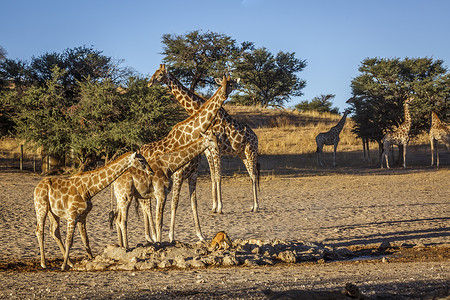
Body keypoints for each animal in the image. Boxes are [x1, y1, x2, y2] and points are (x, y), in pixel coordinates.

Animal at [112, 74, 236, 243]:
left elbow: (194, 204)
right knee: (145, 206)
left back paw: (149, 236)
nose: (224, 95)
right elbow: (174, 204)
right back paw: (150, 236)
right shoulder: (178, 175)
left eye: (230, 84)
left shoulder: (193, 174)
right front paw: (170, 236)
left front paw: (200, 235)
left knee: (144, 205)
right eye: (221, 83)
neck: (191, 133)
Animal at [149, 63, 260, 213]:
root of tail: (256, 137)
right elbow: (213, 177)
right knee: (250, 174)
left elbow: (218, 176)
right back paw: (253, 206)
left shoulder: (216, 148)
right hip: (242, 153)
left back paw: (256, 206)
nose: (149, 83)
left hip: (251, 151)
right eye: (155, 73)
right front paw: (214, 207)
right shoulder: (207, 150)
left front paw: (220, 207)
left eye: (160, 74)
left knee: (254, 175)